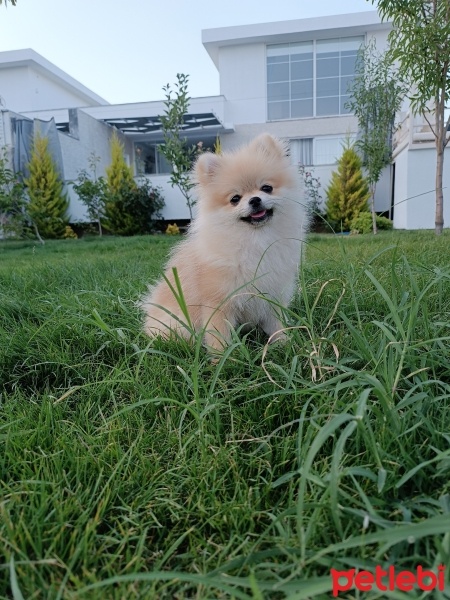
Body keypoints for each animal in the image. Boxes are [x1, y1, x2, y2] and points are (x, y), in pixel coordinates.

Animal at [142, 134, 308, 354]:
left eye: (267, 188)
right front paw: (223, 358)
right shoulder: (218, 302)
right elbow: (218, 336)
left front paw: (285, 344)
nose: (255, 200)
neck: (255, 241)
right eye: (235, 199)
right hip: (177, 324)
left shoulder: (272, 295)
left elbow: (277, 324)